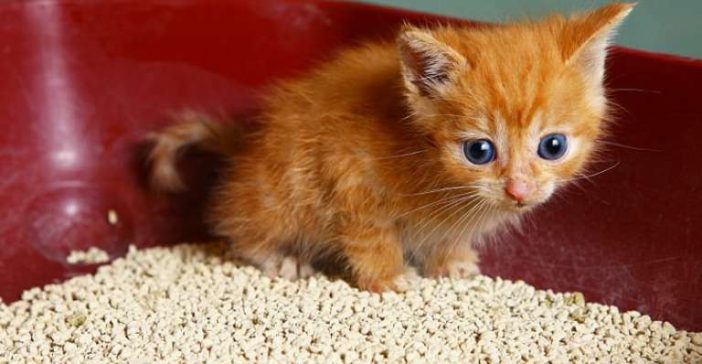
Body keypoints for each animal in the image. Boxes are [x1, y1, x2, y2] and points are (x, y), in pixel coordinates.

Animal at [148, 4, 640, 292]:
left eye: (552, 146)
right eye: (479, 152)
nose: (519, 191)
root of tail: (246, 145)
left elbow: (448, 239)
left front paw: (451, 264)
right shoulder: (347, 171)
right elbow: (371, 236)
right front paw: (390, 279)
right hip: (276, 195)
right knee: (237, 225)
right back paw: (281, 257)